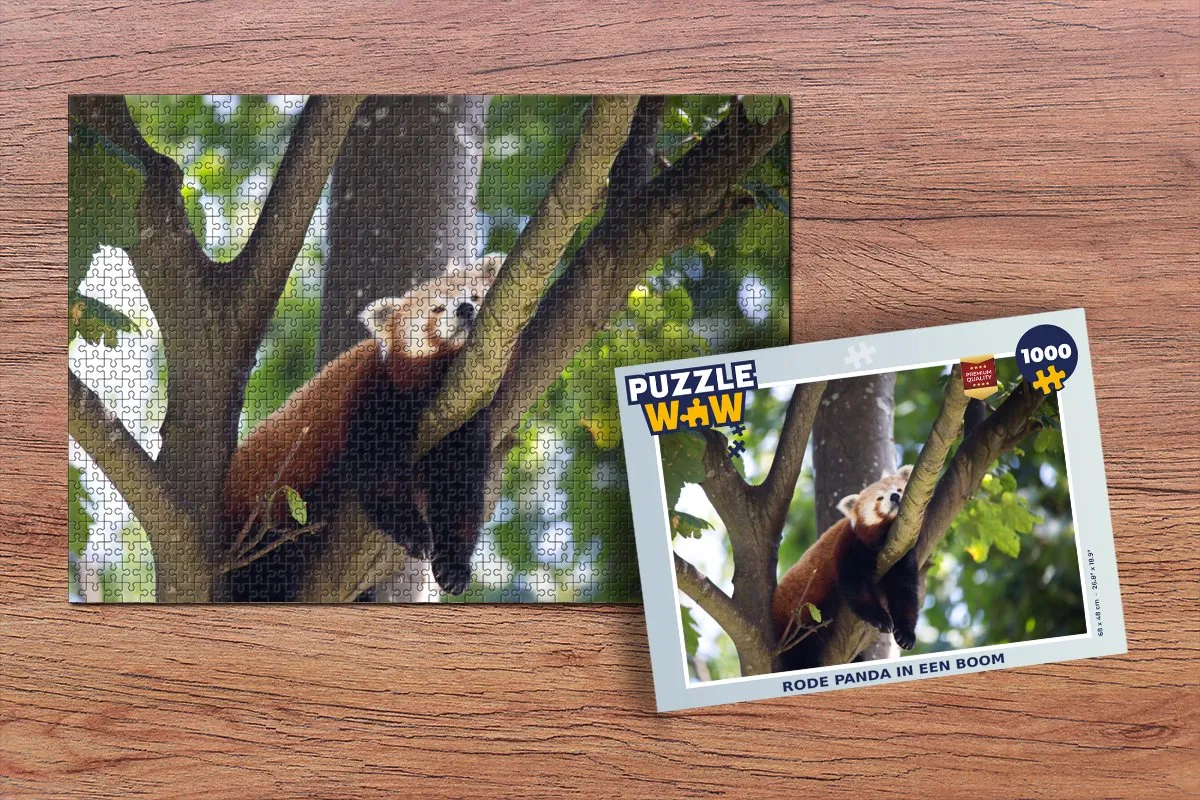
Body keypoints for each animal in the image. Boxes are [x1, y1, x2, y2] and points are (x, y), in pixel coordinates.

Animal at [223, 255, 501, 599]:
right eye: (437, 308)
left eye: (475, 295)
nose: (465, 308)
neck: (439, 384)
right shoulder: (372, 391)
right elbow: (377, 472)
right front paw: (413, 531)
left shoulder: (467, 416)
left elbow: (459, 489)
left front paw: (454, 566)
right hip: (260, 521)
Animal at [770, 465, 920, 671]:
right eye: (879, 498)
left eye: (899, 488)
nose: (895, 496)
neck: (887, 537)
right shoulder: (851, 544)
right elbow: (854, 585)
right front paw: (881, 617)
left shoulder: (903, 553)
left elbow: (904, 591)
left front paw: (906, 633)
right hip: (795, 623)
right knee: (799, 654)